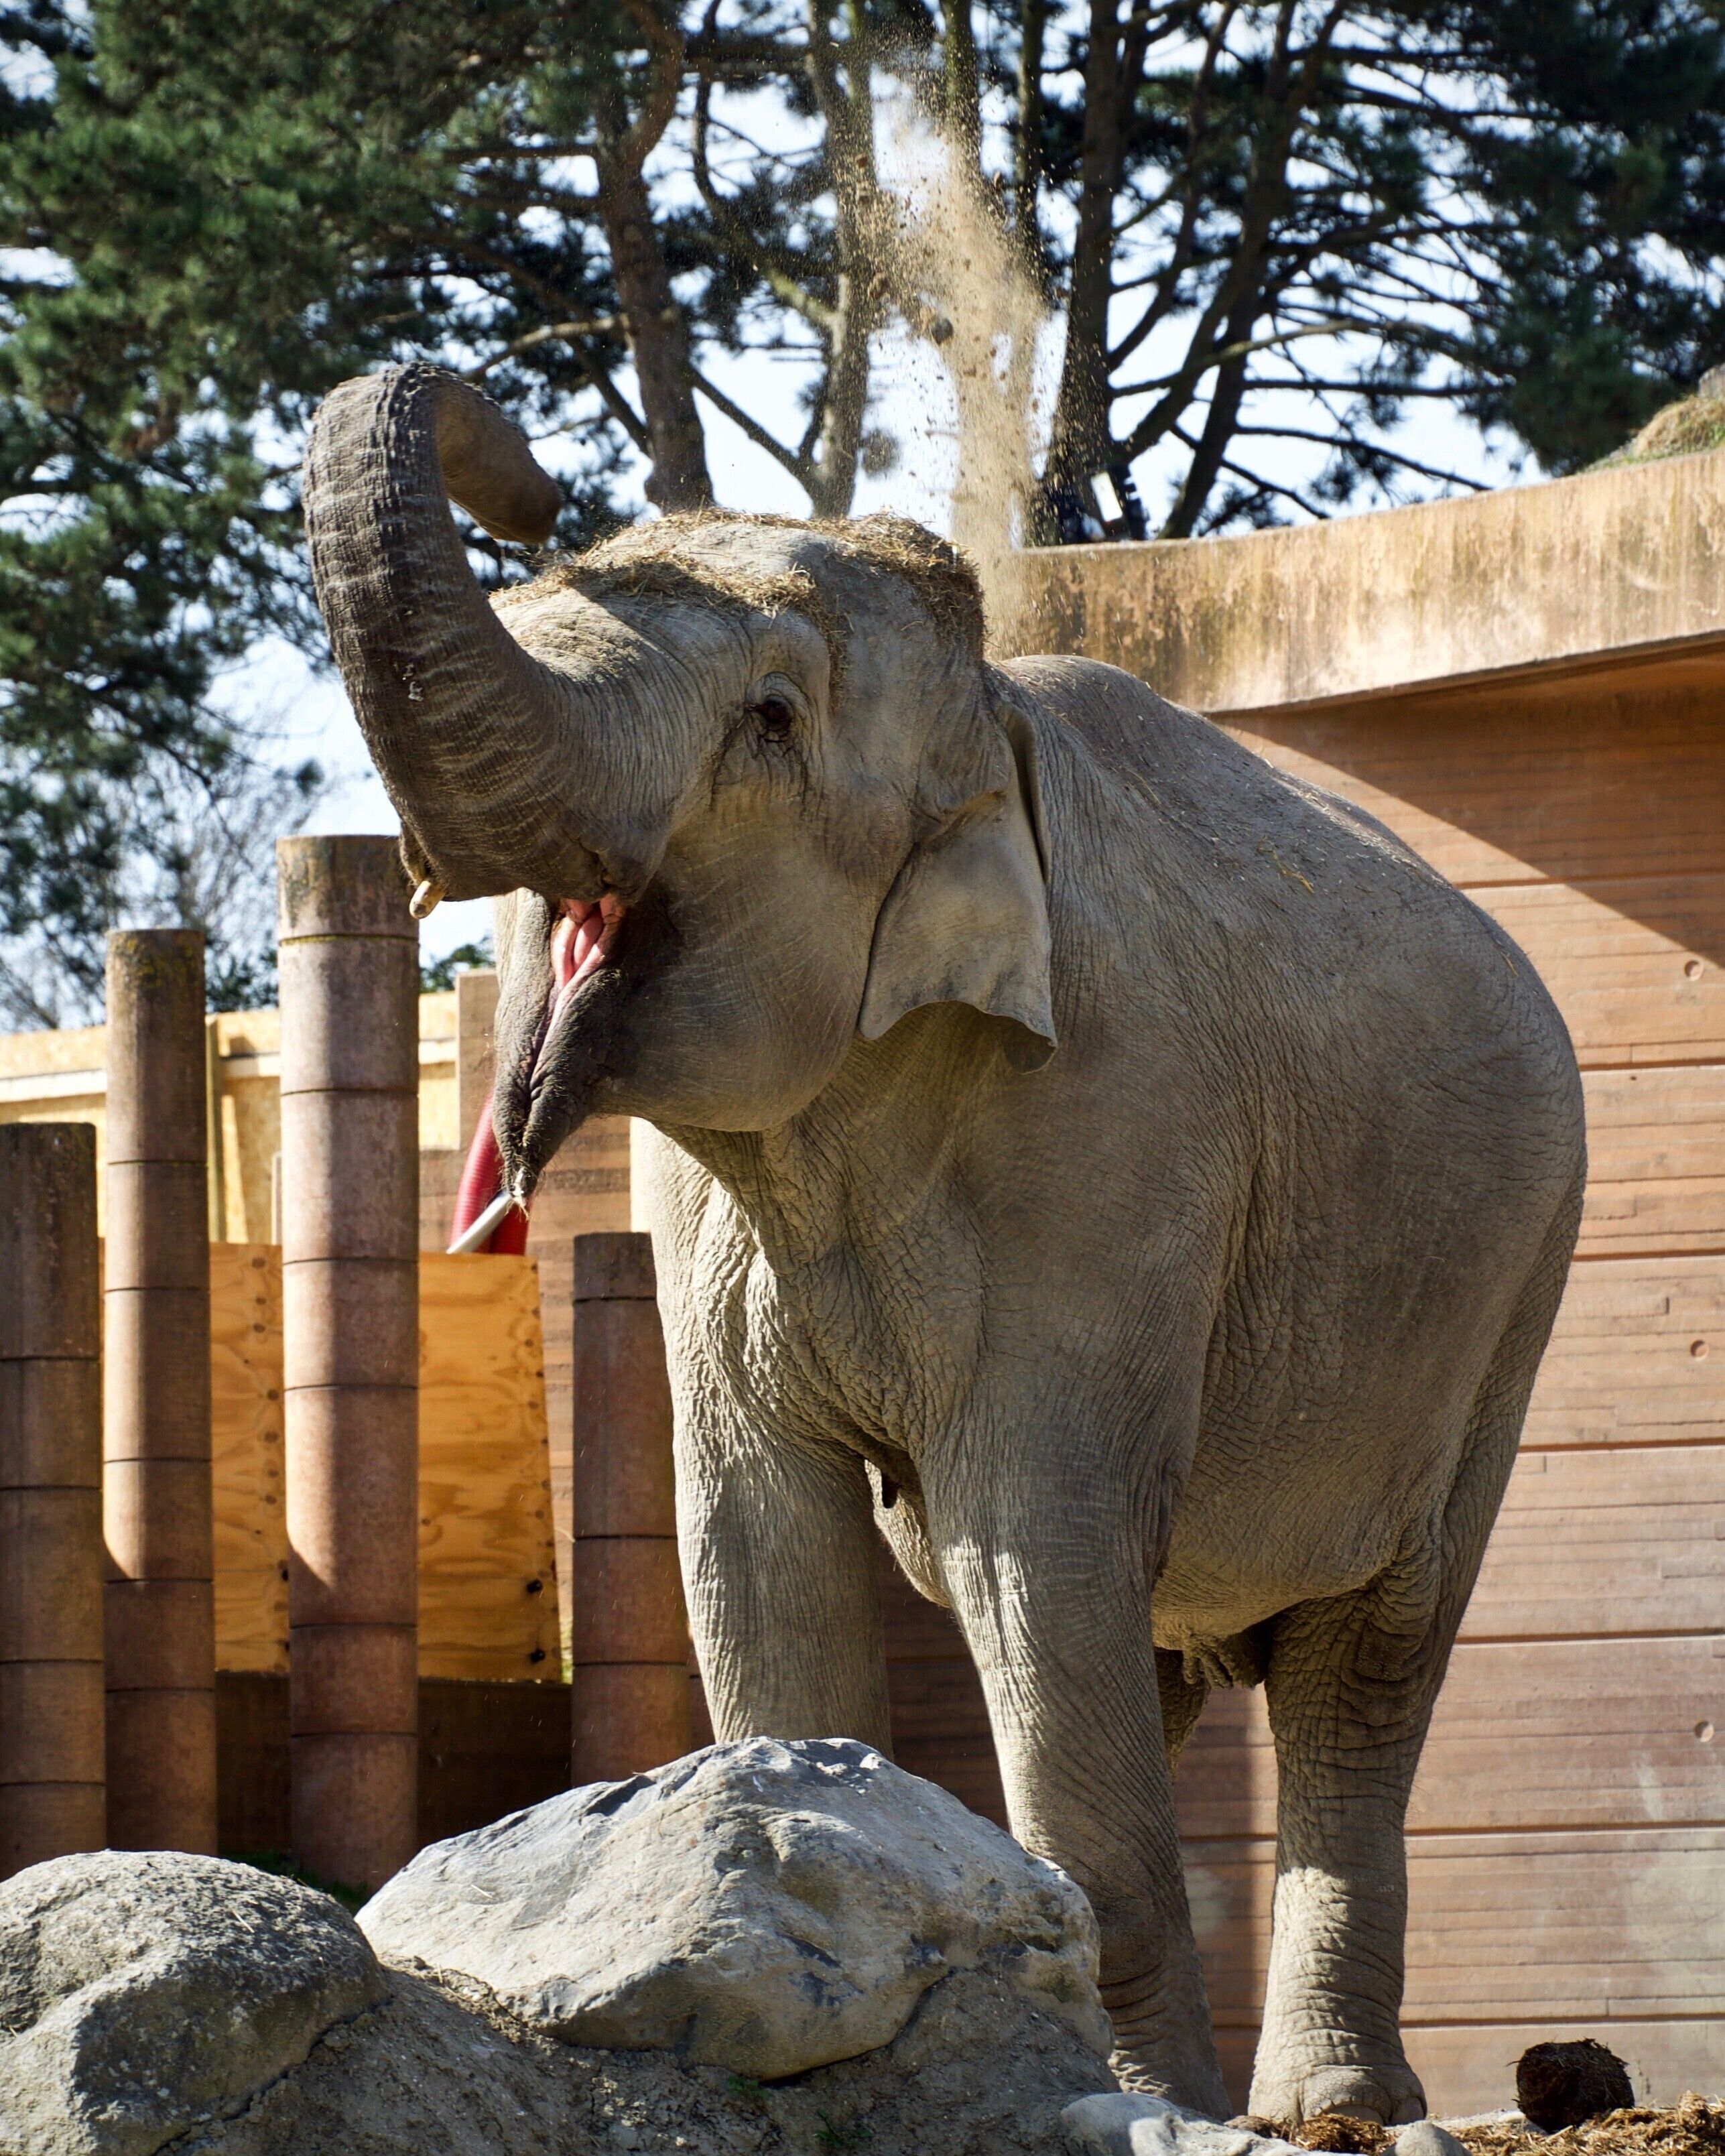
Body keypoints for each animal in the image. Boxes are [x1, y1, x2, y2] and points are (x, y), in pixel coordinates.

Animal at [304, 364, 1586, 2127]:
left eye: (771, 717)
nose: (525, 479)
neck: (987, 726)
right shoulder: (709, 1231)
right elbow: (758, 1545)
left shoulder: (1114, 1146)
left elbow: (1023, 1545)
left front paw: (1112, 2094)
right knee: (1156, 1654)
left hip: (1509, 1292)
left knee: (1363, 1657)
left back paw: (1332, 2111)